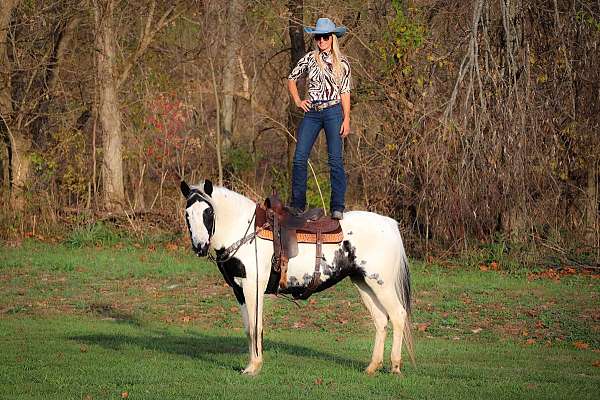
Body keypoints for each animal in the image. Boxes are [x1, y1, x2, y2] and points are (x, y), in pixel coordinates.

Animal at [180, 180, 414, 376]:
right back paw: (372, 367)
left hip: (381, 284)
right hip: (363, 283)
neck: (245, 231)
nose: (199, 246)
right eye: (187, 214)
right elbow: (248, 329)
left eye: (209, 211)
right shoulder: (238, 290)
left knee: (398, 315)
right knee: (381, 321)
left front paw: (254, 367)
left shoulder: (253, 287)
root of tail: (390, 224)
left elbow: (256, 327)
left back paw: (395, 366)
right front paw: (250, 364)